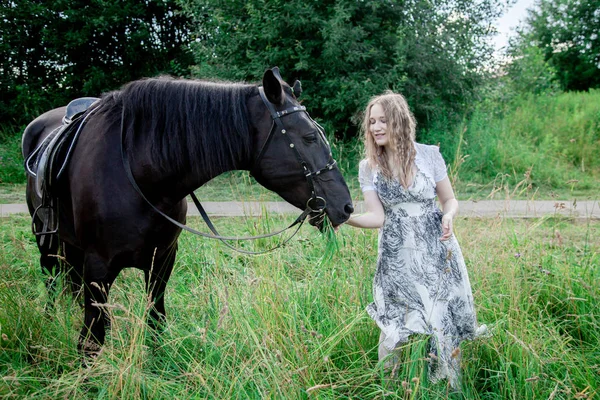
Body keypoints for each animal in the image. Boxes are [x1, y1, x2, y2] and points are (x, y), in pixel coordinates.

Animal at [21, 67, 354, 358]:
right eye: (309, 137)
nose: (346, 206)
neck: (137, 174)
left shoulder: (162, 262)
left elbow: (155, 321)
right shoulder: (98, 269)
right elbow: (91, 339)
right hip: (46, 241)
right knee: (51, 280)